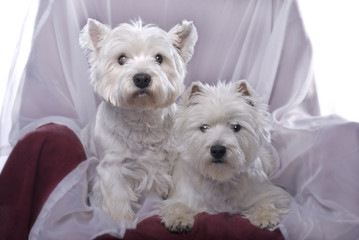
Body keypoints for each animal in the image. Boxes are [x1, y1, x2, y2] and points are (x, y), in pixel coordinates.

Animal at [79, 19, 198, 223]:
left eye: (159, 58)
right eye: (121, 59)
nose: (142, 78)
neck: (142, 119)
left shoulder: (174, 161)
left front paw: (177, 214)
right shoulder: (112, 167)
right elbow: (117, 198)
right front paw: (121, 222)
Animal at [160, 80, 292, 231]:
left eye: (236, 127)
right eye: (203, 127)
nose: (217, 150)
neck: (221, 179)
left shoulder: (270, 193)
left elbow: (266, 201)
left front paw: (265, 216)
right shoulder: (180, 197)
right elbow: (177, 205)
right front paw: (179, 219)